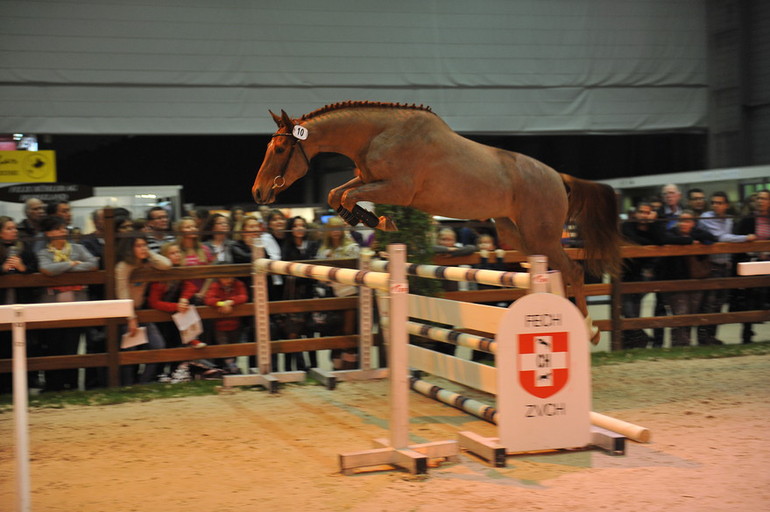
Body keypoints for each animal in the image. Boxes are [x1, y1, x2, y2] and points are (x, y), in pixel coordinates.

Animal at [254, 100, 624, 342]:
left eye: (280, 150)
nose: (258, 192)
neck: (379, 133)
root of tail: (558, 177)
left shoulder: (398, 189)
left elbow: (344, 197)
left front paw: (380, 221)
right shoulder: (367, 179)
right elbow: (336, 194)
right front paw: (370, 219)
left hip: (540, 234)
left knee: (572, 271)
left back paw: (589, 330)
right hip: (517, 232)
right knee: (554, 269)